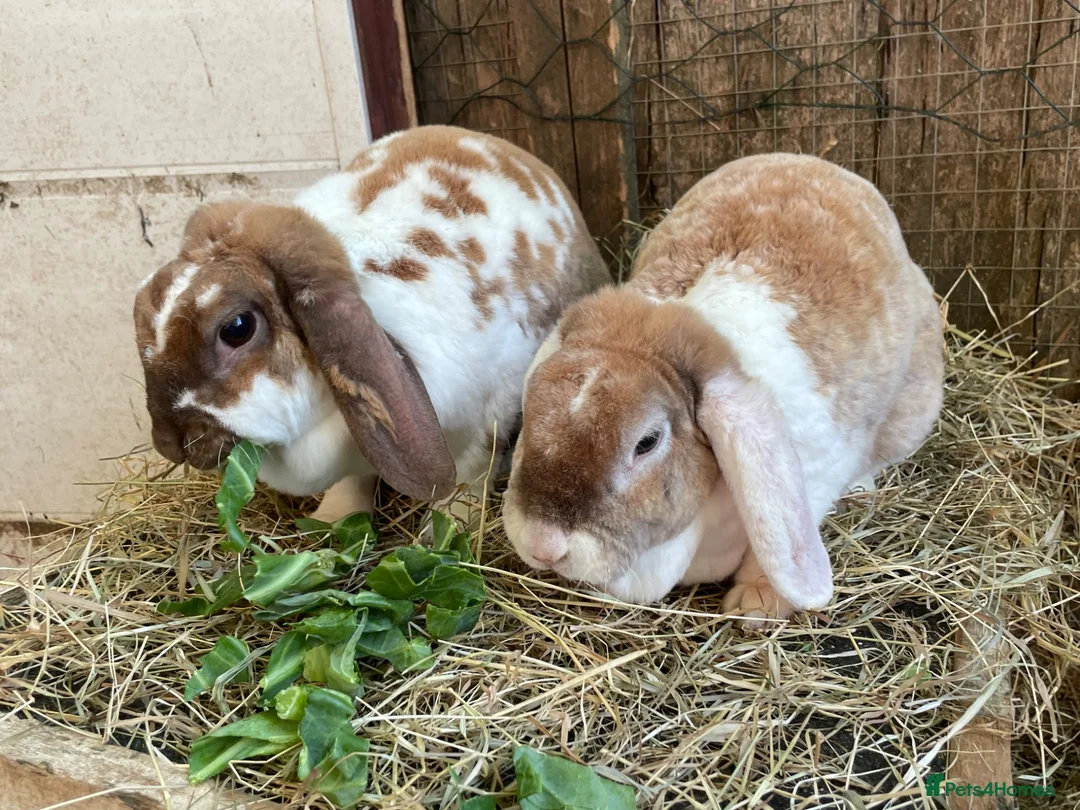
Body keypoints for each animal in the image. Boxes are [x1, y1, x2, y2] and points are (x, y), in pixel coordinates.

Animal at [133, 125, 610, 526]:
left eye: (236, 327)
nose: (168, 441)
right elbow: (353, 480)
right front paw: (332, 520)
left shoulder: (488, 417)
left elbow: (468, 478)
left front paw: (448, 529)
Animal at [502, 153, 943, 622]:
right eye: (531, 412)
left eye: (647, 442)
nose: (543, 545)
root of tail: (816, 162)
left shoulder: (810, 478)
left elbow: (770, 548)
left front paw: (756, 606)